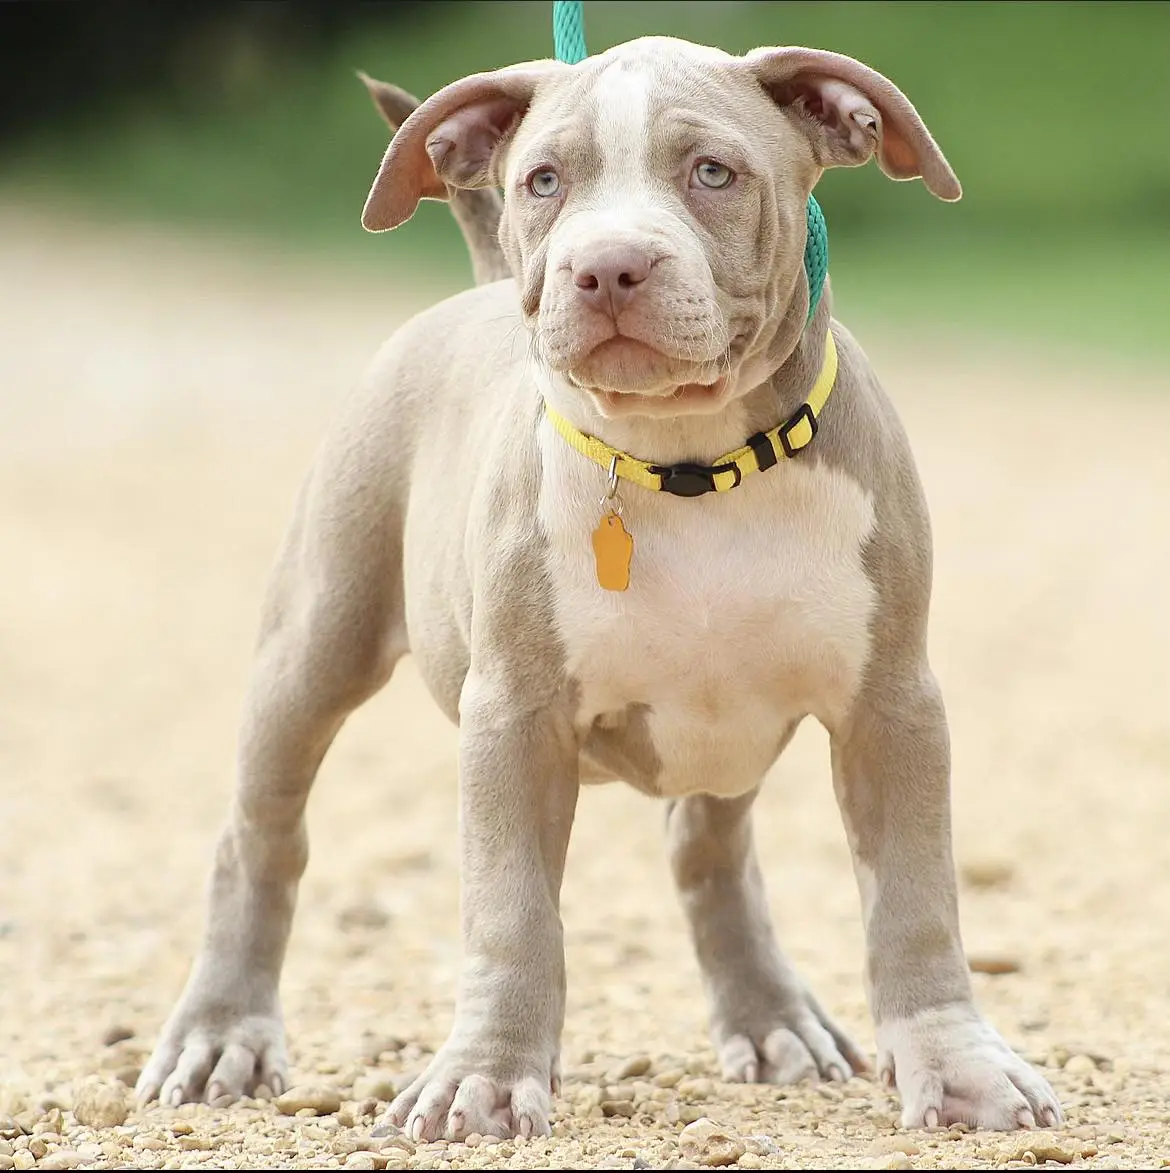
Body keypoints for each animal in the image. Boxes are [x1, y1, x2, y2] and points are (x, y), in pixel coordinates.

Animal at [136, 39, 1060, 1144]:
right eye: (544, 181)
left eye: (713, 172)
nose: (607, 264)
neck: (688, 465)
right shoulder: (513, 717)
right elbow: (512, 915)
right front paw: (485, 1078)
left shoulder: (893, 706)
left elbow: (916, 902)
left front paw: (958, 1069)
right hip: (314, 643)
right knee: (259, 836)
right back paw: (220, 1032)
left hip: (727, 732)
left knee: (708, 853)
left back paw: (773, 1019)